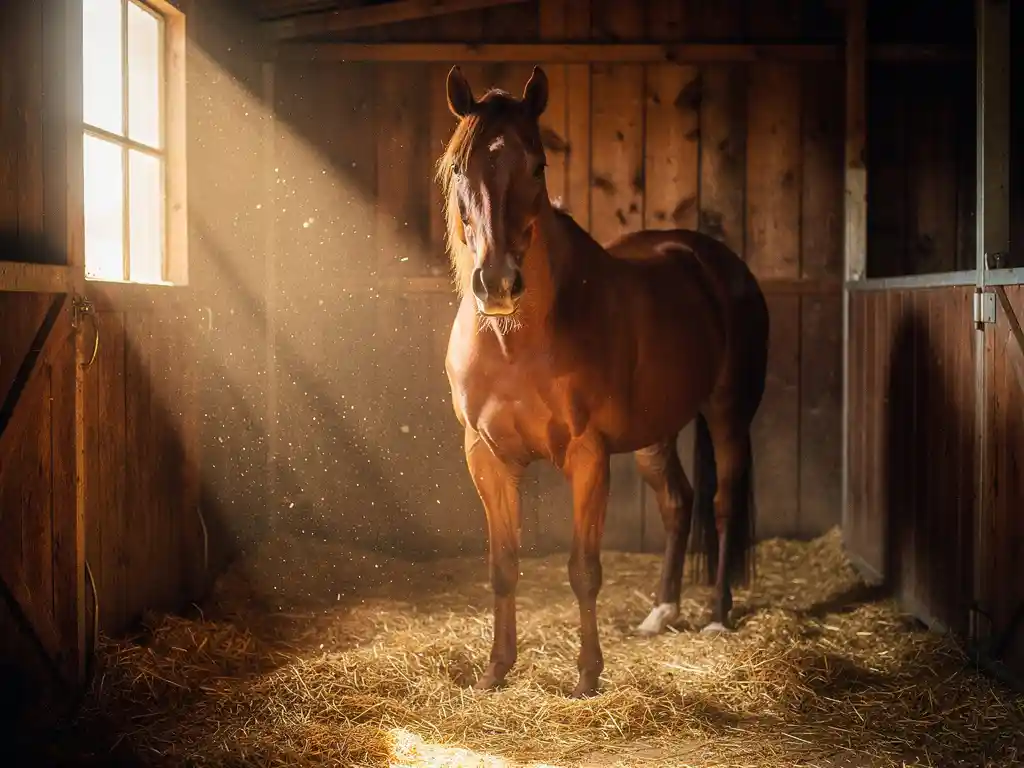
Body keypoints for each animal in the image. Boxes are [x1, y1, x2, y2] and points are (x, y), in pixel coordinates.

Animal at [437, 65, 769, 699]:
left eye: (537, 165)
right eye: (461, 169)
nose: (498, 283)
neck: (516, 339)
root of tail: (713, 260)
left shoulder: (587, 455)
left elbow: (583, 571)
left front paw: (588, 676)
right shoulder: (484, 455)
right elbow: (502, 565)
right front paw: (496, 671)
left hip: (728, 416)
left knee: (721, 503)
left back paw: (717, 617)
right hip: (655, 434)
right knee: (677, 502)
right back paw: (661, 613)